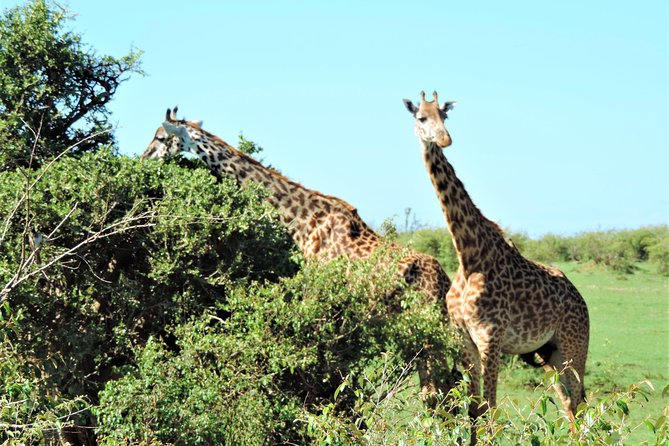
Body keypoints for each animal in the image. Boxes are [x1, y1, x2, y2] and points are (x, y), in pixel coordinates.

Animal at [141, 108, 456, 402]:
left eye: (160, 137)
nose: (144, 158)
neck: (301, 220)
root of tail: (446, 282)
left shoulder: (320, 295)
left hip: (426, 326)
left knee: (434, 392)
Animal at [403, 91, 590, 424]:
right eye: (421, 117)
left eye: (444, 115)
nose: (444, 139)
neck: (468, 254)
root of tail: (582, 302)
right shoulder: (464, 339)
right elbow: (474, 409)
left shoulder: (490, 337)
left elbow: (490, 408)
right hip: (550, 353)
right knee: (570, 403)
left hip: (574, 346)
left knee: (579, 403)